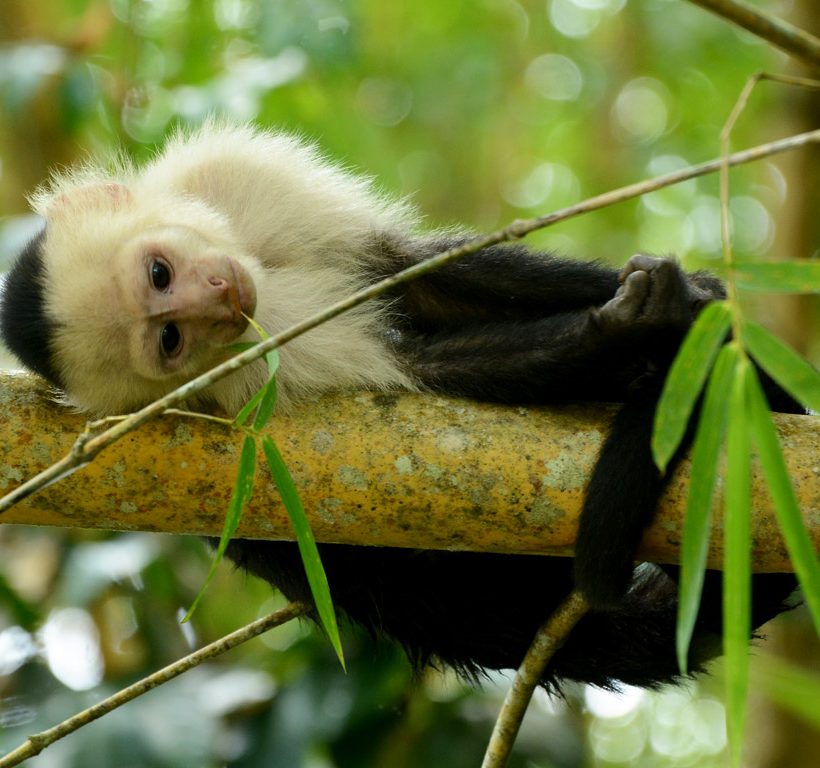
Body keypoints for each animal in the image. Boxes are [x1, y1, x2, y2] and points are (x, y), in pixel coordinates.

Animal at [0, 124, 800, 688]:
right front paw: (627, 328)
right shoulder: (241, 376)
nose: (217, 300)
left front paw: (680, 303)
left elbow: (415, 274)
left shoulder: (237, 177)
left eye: (161, 274)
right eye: (169, 338)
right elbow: (417, 366)